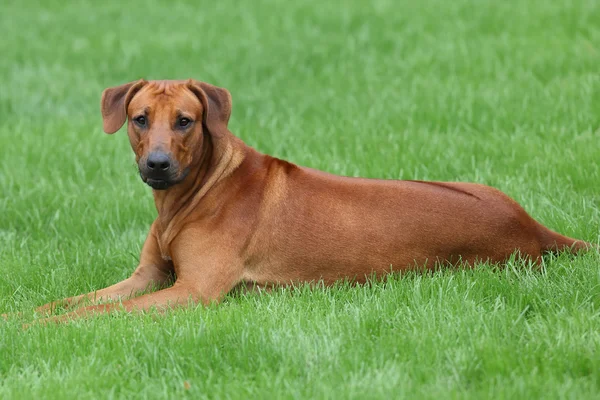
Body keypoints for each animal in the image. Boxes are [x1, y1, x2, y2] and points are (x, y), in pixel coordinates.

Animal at [27, 79, 592, 320]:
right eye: (140, 118)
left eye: (185, 121)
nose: (158, 165)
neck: (192, 195)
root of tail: (534, 225)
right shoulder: (147, 277)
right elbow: (68, 302)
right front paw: (20, 319)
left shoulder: (194, 292)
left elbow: (86, 316)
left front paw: (46, 332)